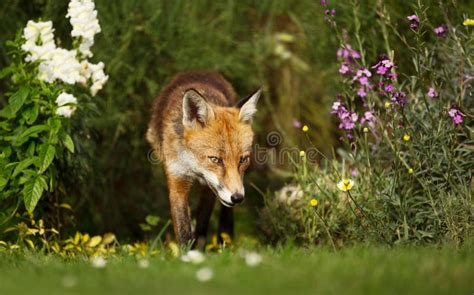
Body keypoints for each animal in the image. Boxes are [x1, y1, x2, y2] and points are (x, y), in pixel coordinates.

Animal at [147, 71, 262, 245]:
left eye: (242, 160)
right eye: (215, 159)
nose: (237, 198)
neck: (193, 167)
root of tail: (200, 71)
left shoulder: (210, 189)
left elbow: (201, 224)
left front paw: (198, 248)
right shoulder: (177, 180)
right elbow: (183, 228)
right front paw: (187, 250)